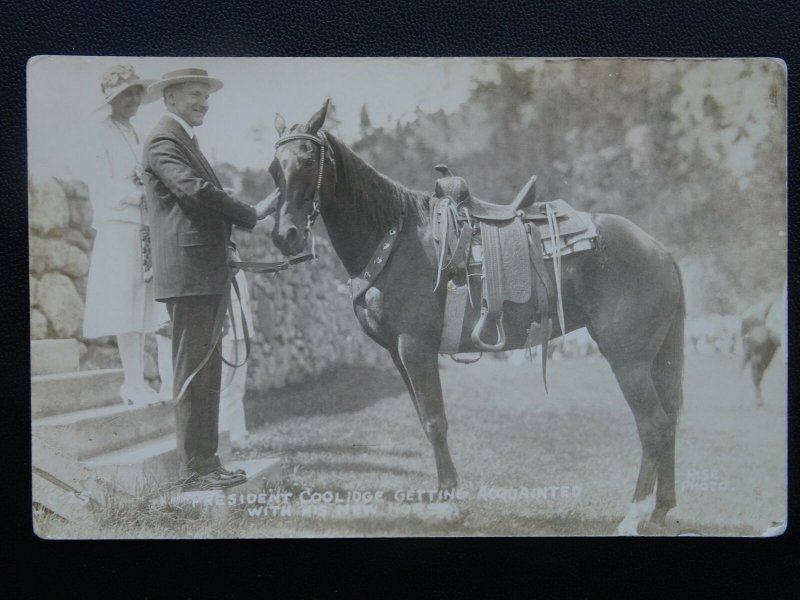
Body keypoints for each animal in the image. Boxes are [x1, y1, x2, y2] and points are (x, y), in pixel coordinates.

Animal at [266, 99, 684, 536]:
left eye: (308, 160)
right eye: (274, 169)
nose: (286, 235)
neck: (395, 238)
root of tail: (658, 249)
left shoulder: (415, 347)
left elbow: (436, 421)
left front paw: (447, 502)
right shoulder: (397, 354)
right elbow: (424, 420)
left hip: (628, 361)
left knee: (653, 425)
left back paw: (634, 514)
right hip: (655, 360)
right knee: (670, 421)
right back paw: (662, 509)